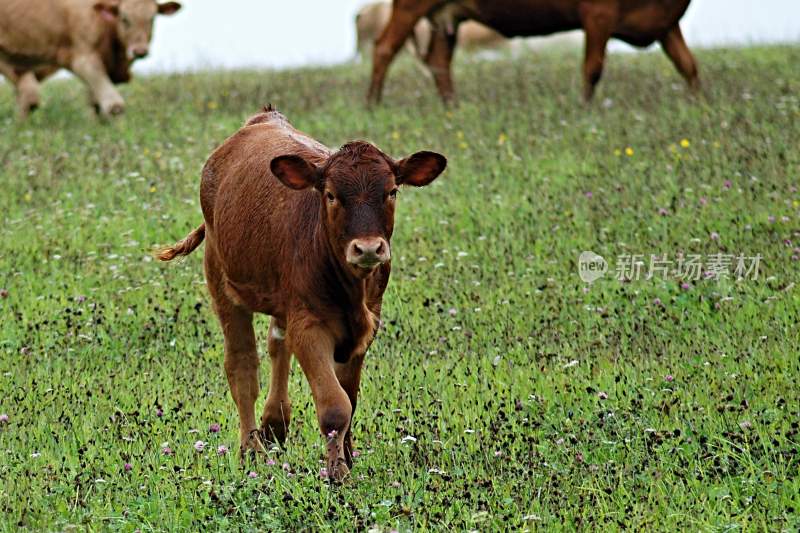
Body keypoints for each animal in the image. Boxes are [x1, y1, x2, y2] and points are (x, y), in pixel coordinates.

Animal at [0, 0, 181, 117]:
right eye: (124, 18)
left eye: (152, 18)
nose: (140, 51)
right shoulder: (84, 60)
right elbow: (114, 106)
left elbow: (96, 105)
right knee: (29, 97)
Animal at [156, 106, 444, 480]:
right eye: (331, 194)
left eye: (392, 191)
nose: (368, 248)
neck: (349, 290)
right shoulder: (309, 325)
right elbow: (335, 405)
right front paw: (338, 473)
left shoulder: (367, 324)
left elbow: (350, 396)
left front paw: (347, 457)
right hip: (221, 279)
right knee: (242, 365)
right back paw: (252, 449)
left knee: (277, 343)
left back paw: (274, 424)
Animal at [368, 0, 700, 103]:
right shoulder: (598, 14)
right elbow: (592, 68)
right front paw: (586, 109)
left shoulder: (667, 23)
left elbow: (688, 65)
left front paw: (699, 104)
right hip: (410, 6)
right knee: (384, 48)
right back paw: (373, 104)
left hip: (446, 18)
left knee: (439, 62)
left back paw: (453, 107)